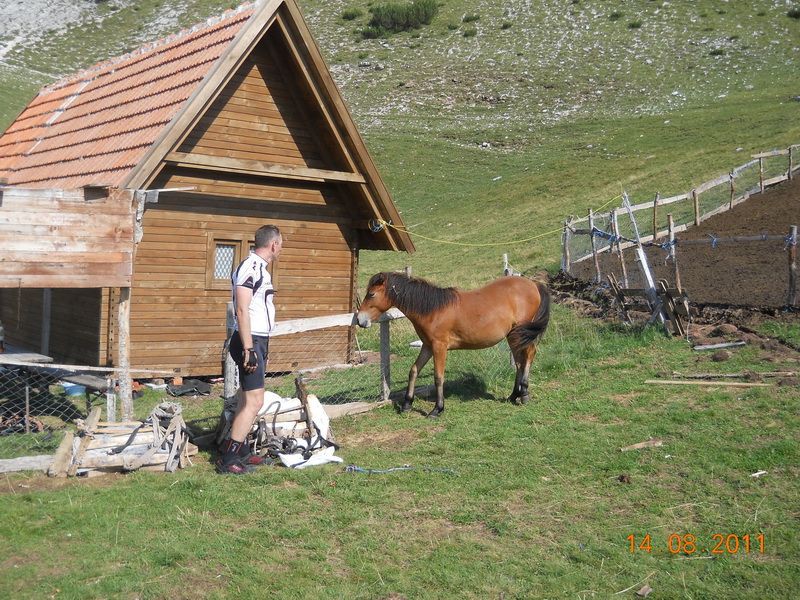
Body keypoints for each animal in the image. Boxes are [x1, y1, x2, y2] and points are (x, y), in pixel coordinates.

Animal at [355, 272, 550, 417]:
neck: (432, 310)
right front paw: (406, 404)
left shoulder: (439, 347)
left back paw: (524, 394)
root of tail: (534, 284)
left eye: (371, 294)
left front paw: (437, 409)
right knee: (519, 363)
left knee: (529, 355)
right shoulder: (427, 346)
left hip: (522, 334)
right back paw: (513, 395)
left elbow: (438, 377)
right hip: (514, 336)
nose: (359, 320)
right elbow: (414, 370)